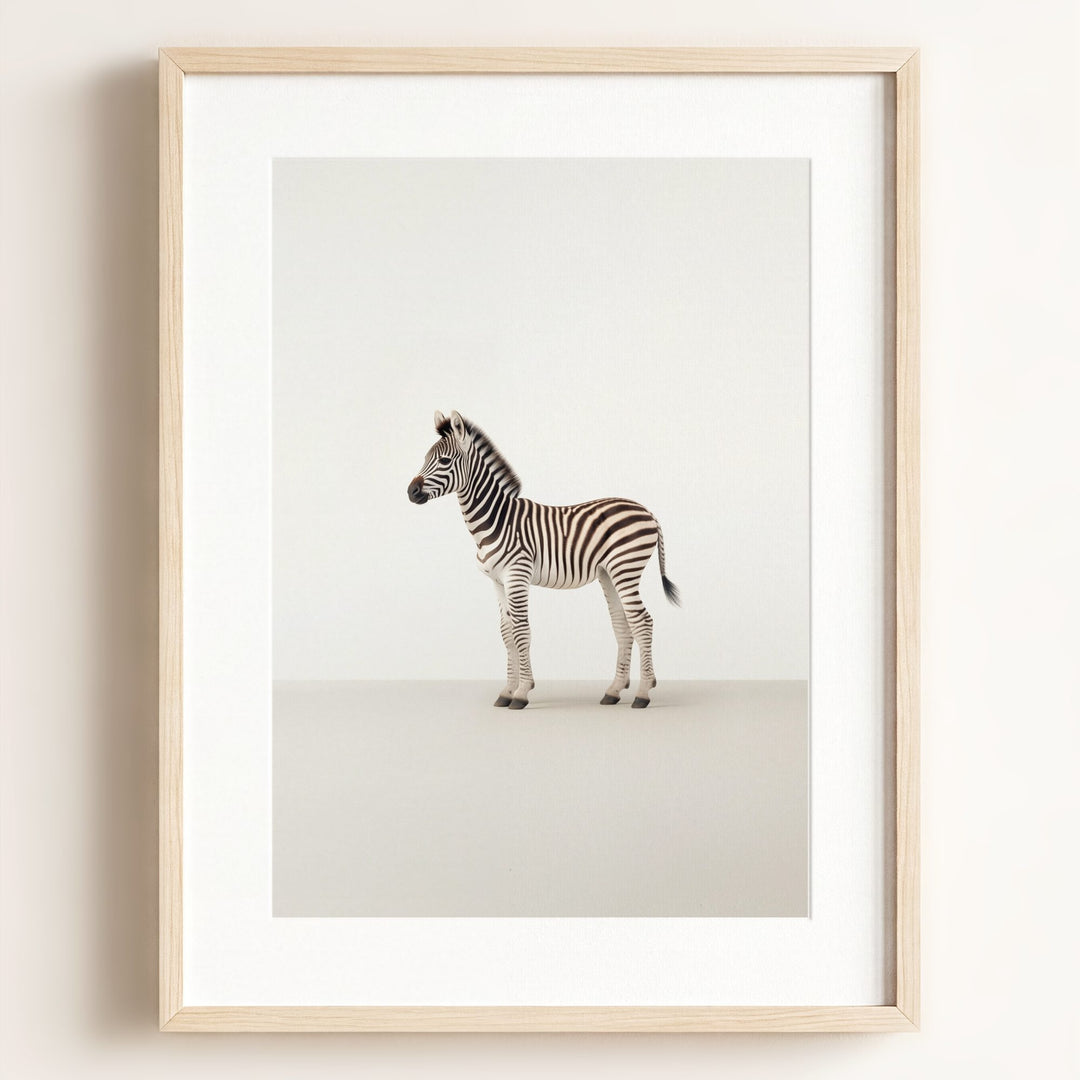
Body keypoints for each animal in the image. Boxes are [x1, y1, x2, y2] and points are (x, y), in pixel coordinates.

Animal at [407, 410, 680, 710]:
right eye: (424, 458)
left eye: (444, 461)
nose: (411, 492)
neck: (496, 520)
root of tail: (647, 511)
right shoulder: (497, 581)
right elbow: (506, 632)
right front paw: (506, 691)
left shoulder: (517, 575)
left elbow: (521, 630)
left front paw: (522, 692)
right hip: (609, 573)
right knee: (623, 624)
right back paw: (614, 690)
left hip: (626, 567)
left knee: (642, 622)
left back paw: (643, 693)